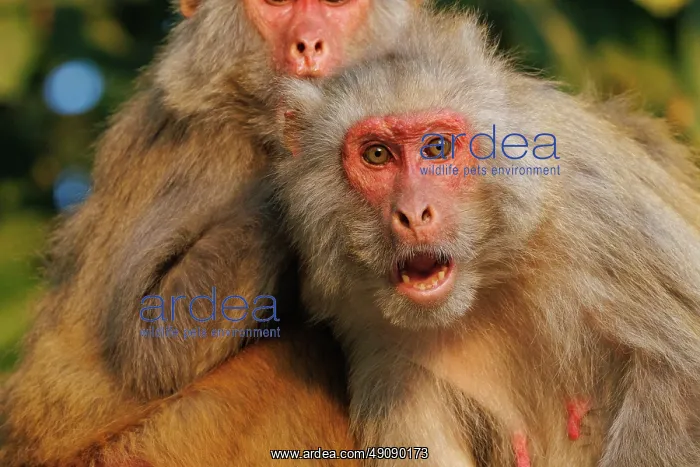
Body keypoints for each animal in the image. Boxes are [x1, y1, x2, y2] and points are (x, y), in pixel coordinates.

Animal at [0, 0, 419, 464]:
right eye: (276, 5)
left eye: (336, 4)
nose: (309, 43)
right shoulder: (208, 151)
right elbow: (152, 345)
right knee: (298, 353)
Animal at [274, 8, 700, 467]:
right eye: (376, 154)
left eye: (436, 148)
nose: (412, 213)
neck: (490, 279)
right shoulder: (383, 347)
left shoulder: (598, 215)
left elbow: (678, 373)